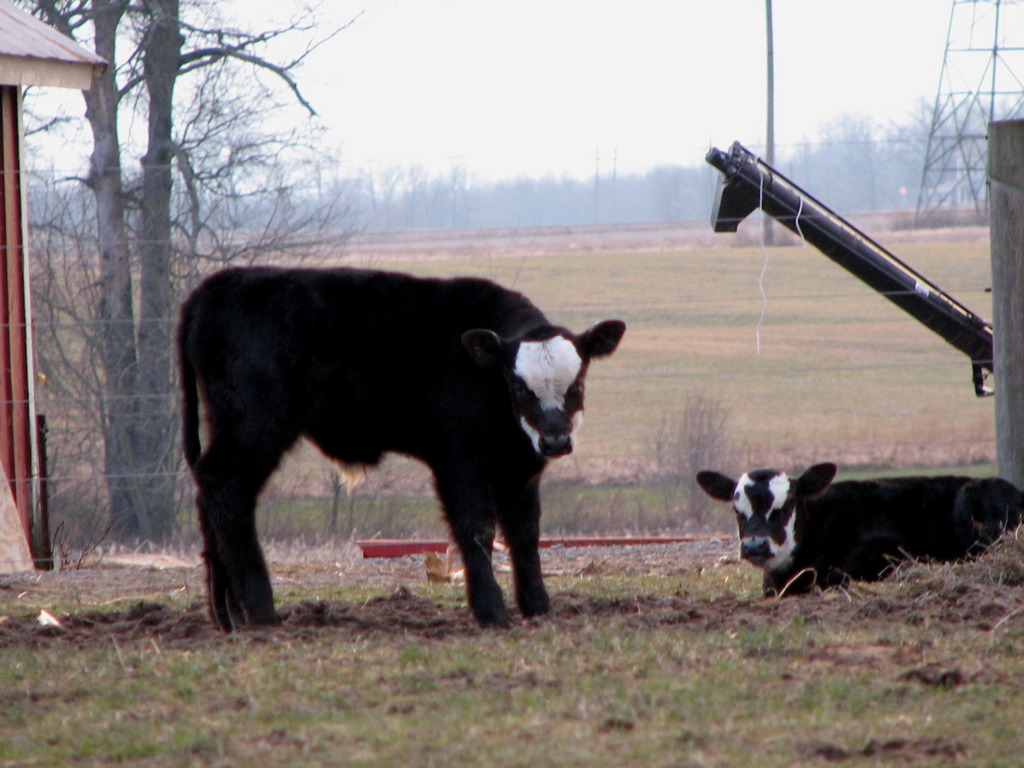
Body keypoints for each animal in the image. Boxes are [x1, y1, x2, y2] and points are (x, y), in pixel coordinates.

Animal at [177, 268, 622, 626]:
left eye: (577, 384)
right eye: (518, 386)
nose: (555, 439)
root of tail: (223, 281)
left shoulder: (519, 467)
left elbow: (525, 533)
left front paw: (536, 607)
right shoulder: (459, 461)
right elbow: (476, 529)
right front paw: (491, 611)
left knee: (209, 494)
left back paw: (228, 614)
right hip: (254, 426)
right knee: (226, 487)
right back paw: (261, 610)